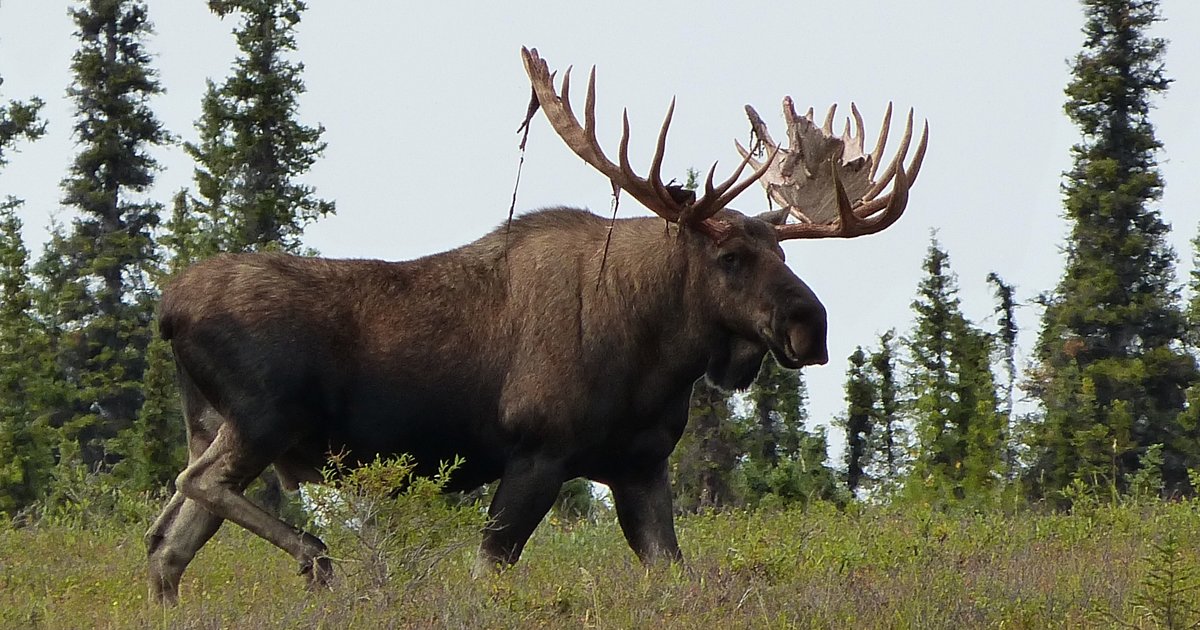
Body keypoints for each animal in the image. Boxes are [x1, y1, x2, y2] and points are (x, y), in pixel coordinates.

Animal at [144, 47, 926, 603]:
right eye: (730, 256)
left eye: (784, 252)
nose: (810, 326)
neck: (655, 359)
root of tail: (167, 309)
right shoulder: (538, 453)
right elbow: (489, 571)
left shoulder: (640, 466)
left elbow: (674, 573)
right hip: (262, 417)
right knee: (190, 489)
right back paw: (315, 554)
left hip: (216, 422)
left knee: (165, 544)